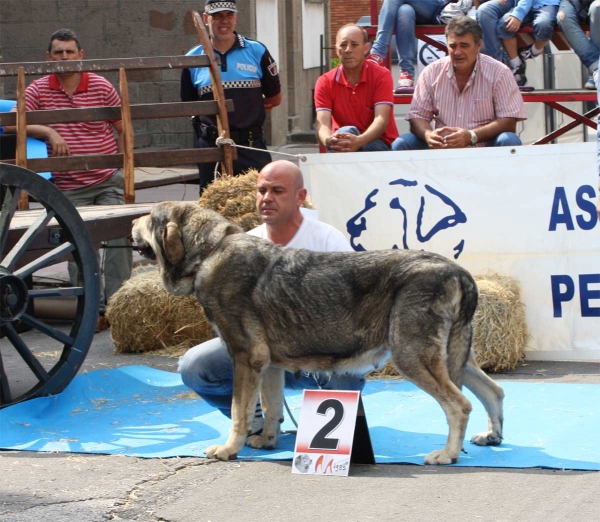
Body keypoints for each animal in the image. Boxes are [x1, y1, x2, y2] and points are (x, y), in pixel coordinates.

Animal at [134, 201, 504, 462]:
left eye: (148, 217)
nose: (132, 223)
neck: (211, 250)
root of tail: (458, 272)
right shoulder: (268, 366)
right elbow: (270, 409)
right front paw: (267, 441)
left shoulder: (245, 357)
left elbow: (240, 411)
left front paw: (229, 450)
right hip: (454, 356)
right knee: (493, 391)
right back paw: (492, 437)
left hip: (412, 357)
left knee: (459, 405)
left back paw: (448, 454)